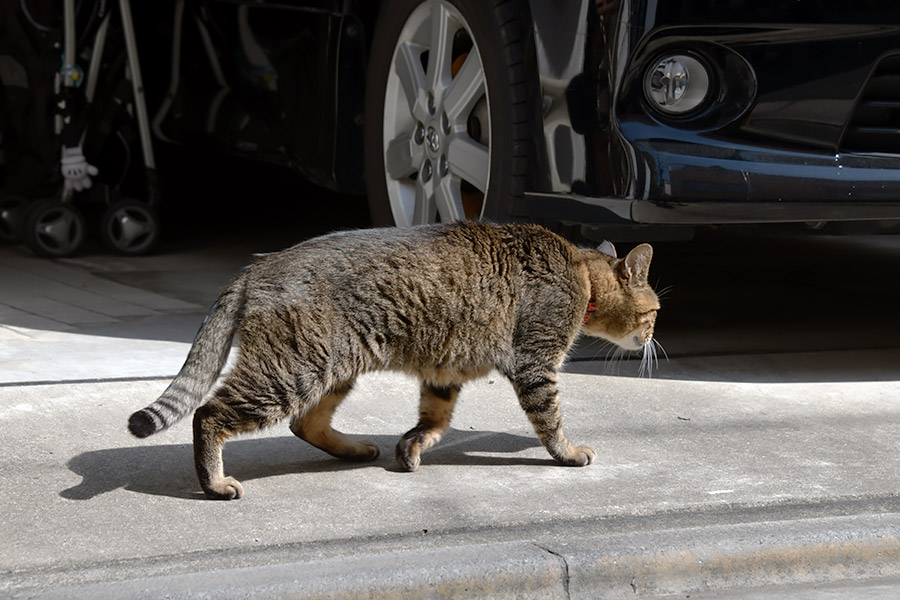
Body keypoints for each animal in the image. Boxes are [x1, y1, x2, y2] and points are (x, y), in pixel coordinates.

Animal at [126, 223, 656, 500]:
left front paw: (412, 447)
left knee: (305, 424)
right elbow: (551, 422)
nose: (653, 336)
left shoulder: (445, 371)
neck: (581, 273)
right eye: (654, 312)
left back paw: (356, 449)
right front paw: (568, 453)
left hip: (331, 368)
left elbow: (433, 420)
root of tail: (258, 263)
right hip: (291, 371)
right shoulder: (535, 365)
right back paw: (214, 482)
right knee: (208, 414)